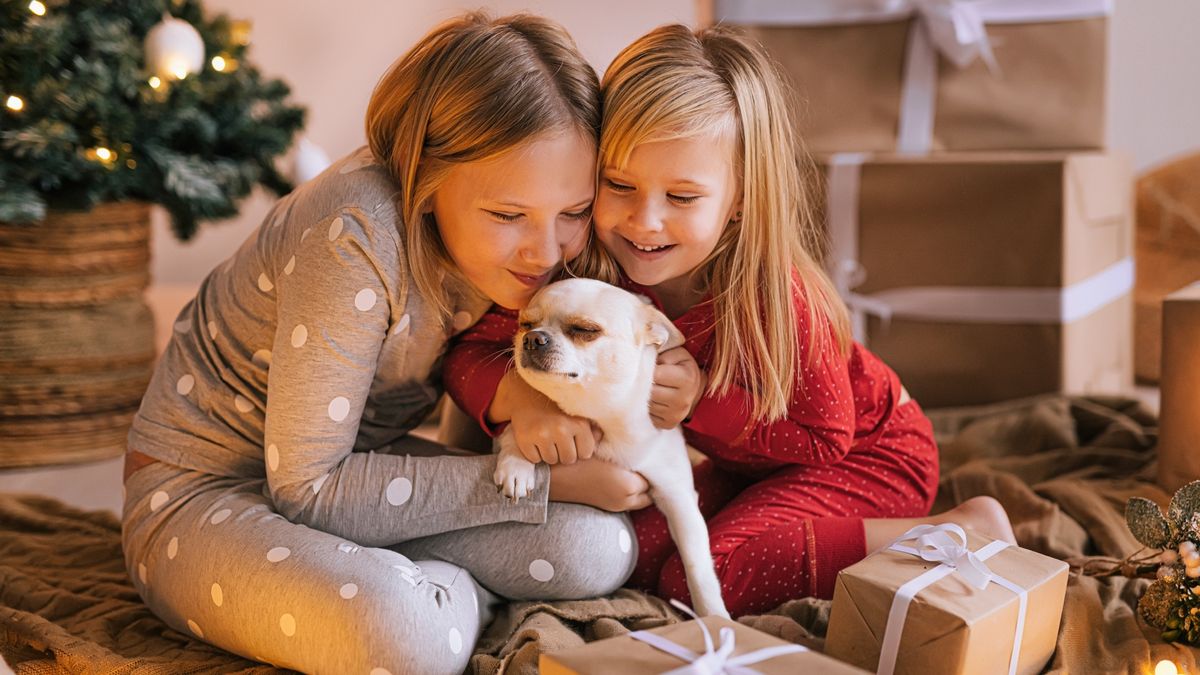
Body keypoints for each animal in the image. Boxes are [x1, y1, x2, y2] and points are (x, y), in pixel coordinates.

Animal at [489, 277, 729, 614]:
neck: (600, 415)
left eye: (584, 330)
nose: (533, 338)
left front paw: (715, 617)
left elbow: (698, 567)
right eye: (525, 324)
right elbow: (514, 432)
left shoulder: (679, 497)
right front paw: (516, 467)